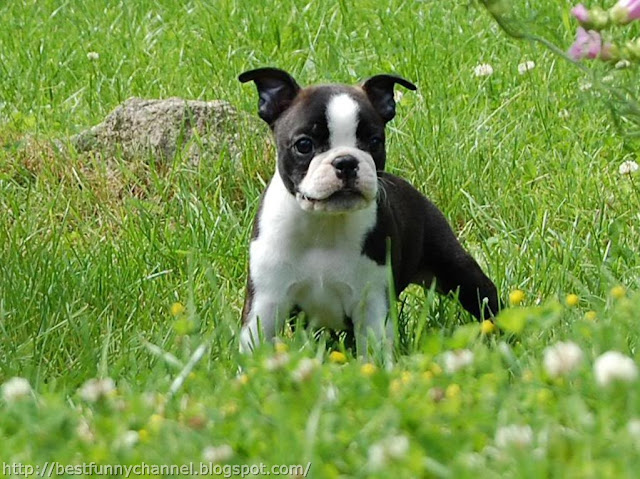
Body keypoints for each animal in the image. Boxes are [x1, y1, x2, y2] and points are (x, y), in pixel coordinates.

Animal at [236, 67, 500, 356]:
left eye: (374, 141)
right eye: (304, 145)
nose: (346, 161)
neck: (325, 224)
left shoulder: (371, 304)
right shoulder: (266, 300)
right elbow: (254, 343)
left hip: (455, 268)